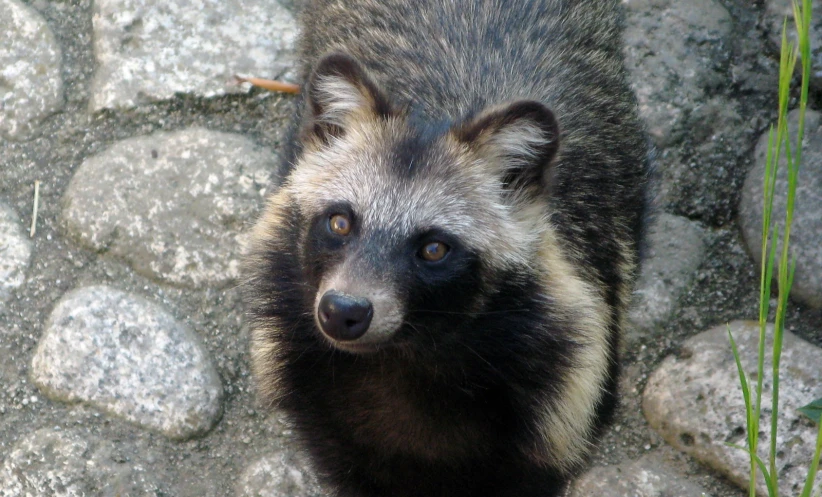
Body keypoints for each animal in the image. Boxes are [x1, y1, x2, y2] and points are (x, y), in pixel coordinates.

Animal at [243, 0, 652, 496]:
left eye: (434, 249)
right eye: (339, 222)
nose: (343, 311)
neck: (402, 358)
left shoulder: (562, 401)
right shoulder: (317, 395)